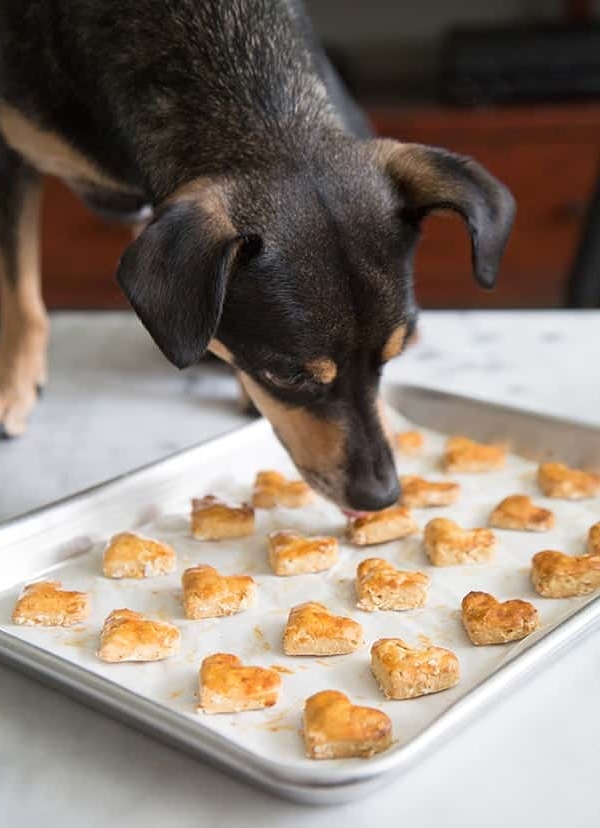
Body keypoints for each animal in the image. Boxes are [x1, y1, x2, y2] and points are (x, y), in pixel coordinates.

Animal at [0, 0, 516, 512]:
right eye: (286, 375)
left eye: (394, 356)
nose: (381, 497)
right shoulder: (10, 154)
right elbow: (22, 296)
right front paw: (14, 389)